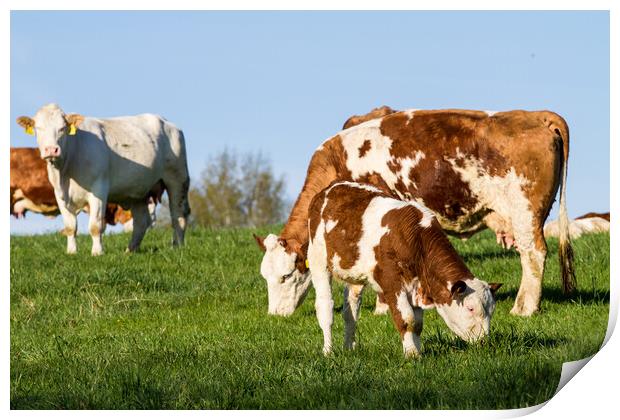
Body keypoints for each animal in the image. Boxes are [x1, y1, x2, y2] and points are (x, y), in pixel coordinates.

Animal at [17, 104, 191, 256]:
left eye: (62, 128)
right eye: (38, 129)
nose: (51, 150)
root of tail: (167, 122)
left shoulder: (98, 190)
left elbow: (95, 226)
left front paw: (97, 252)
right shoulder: (59, 195)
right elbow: (70, 226)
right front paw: (71, 252)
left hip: (177, 178)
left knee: (178, 216)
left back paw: (177, 247)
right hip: (138, 190)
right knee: (141, 222)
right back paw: (130, 250)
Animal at [254, 106, 572, 316]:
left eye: (286, 276)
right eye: (265, 276)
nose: (275, 315)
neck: (337, 162)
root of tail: (536, 114)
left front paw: (381, 308)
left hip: (524, 212)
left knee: (533, 255)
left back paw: (524, 309)